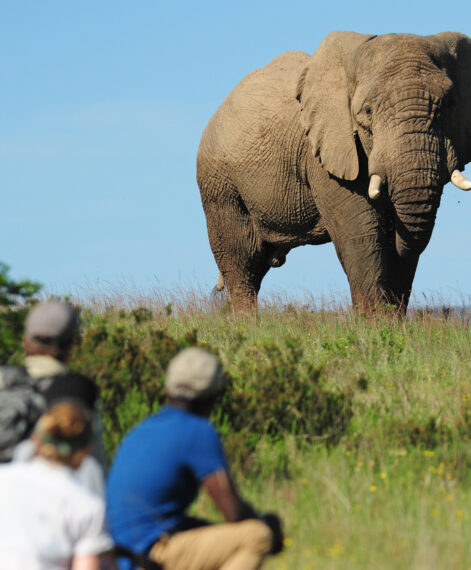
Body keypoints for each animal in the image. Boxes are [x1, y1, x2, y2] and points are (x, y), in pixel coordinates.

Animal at [197, 31, 471, 313]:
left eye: (449, 105)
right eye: (367, 112)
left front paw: (393, 319)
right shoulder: (324, 158)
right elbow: (361, 234)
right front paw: (375, 321)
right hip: (219, 182)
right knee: (241, 258)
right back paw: (246, 320)